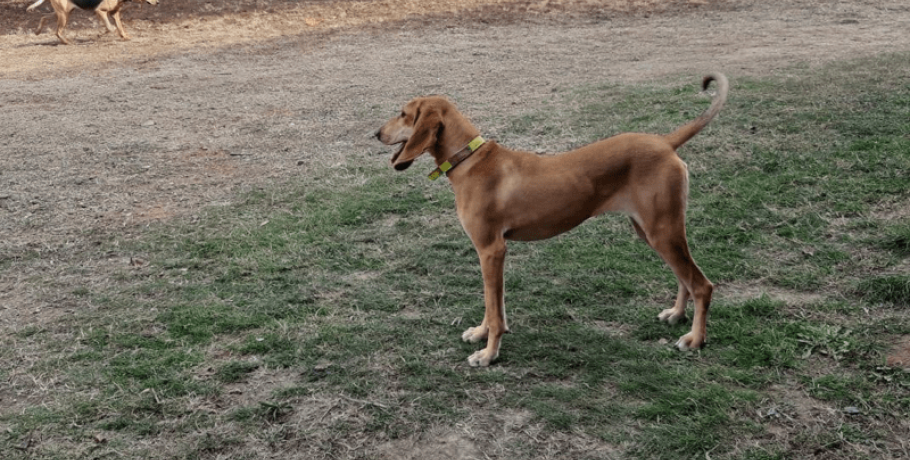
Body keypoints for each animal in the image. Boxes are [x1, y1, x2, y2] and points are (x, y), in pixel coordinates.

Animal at [27, 0, 159, 45]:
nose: (158, 2)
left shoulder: (114, 13)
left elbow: (120, 27)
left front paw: (125, 37)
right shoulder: (100, 11)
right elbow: (110, 28)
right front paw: (99, 35)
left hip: (64, 13)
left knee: (44, 17)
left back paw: (37, 31)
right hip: (64, 15)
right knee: (58, 32)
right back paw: (68, 42)